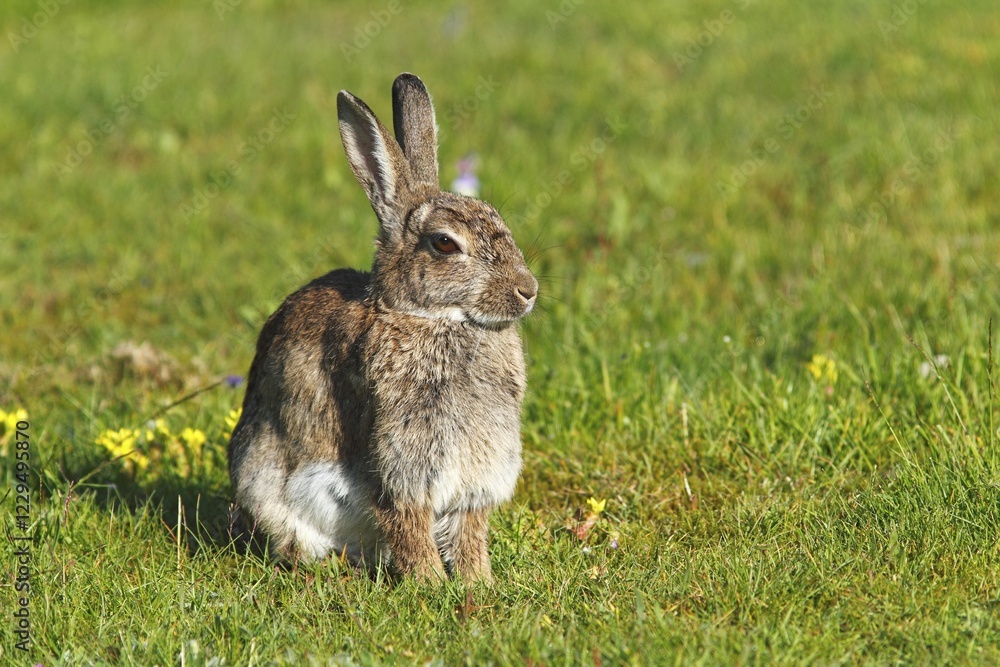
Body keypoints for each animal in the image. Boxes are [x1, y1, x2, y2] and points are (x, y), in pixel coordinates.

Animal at [228, 73, 538, 583]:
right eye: (444, 244)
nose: (527, 290)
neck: (433, 318)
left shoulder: (478, 474)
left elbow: (469, 529)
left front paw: (477, 580)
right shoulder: (400, 462)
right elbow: (407, 520)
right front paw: (429, 582)